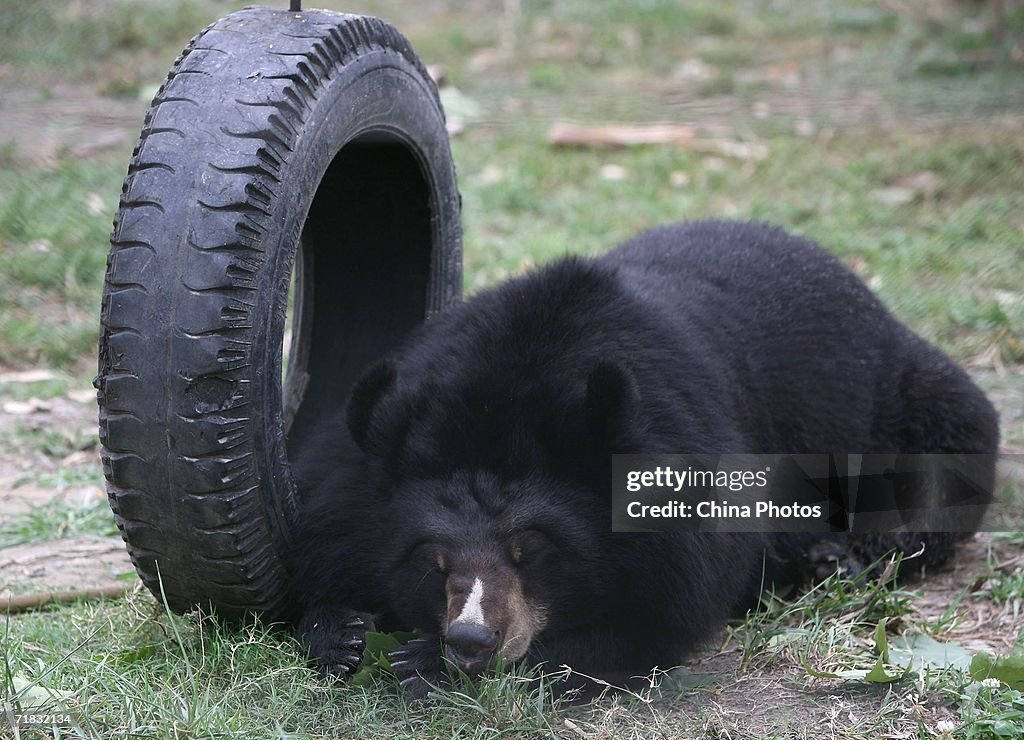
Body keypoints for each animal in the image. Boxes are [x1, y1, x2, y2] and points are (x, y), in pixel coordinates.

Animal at [290, 221, 999, 700]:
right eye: (431, 558)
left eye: (532, 550)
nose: (470, 643)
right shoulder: (342, 486)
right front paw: (344, 633)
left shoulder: (687, 508)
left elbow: (652, 621)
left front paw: (422, 663)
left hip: (900, 397)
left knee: (945, 459)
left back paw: (853, 555)